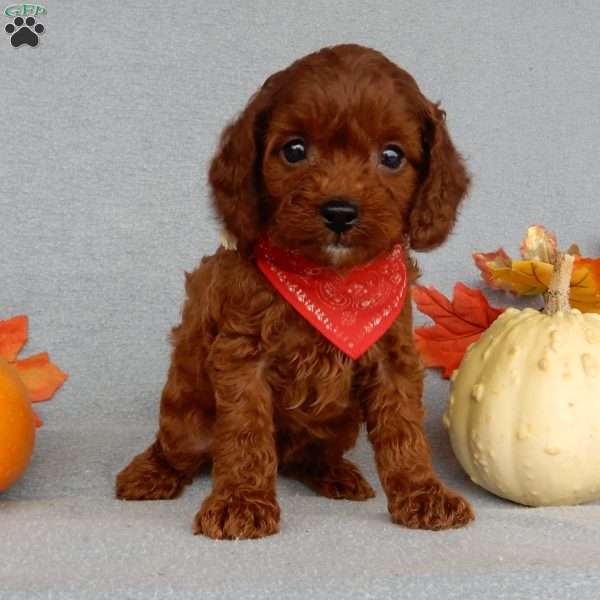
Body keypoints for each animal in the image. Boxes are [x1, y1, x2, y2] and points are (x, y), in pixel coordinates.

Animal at [116, 43, 474, 540]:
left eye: (391, 156)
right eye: (295, 150)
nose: (340, 212)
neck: (332, 282)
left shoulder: (393, 356)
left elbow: (404, 429)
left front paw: (422, 492)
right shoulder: (242, 356)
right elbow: (245, 432)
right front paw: (240, 501)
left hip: (337, 424)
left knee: (308, 455)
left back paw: (334, 473)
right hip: (184, 415)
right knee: (177, 448)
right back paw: (151, 473)